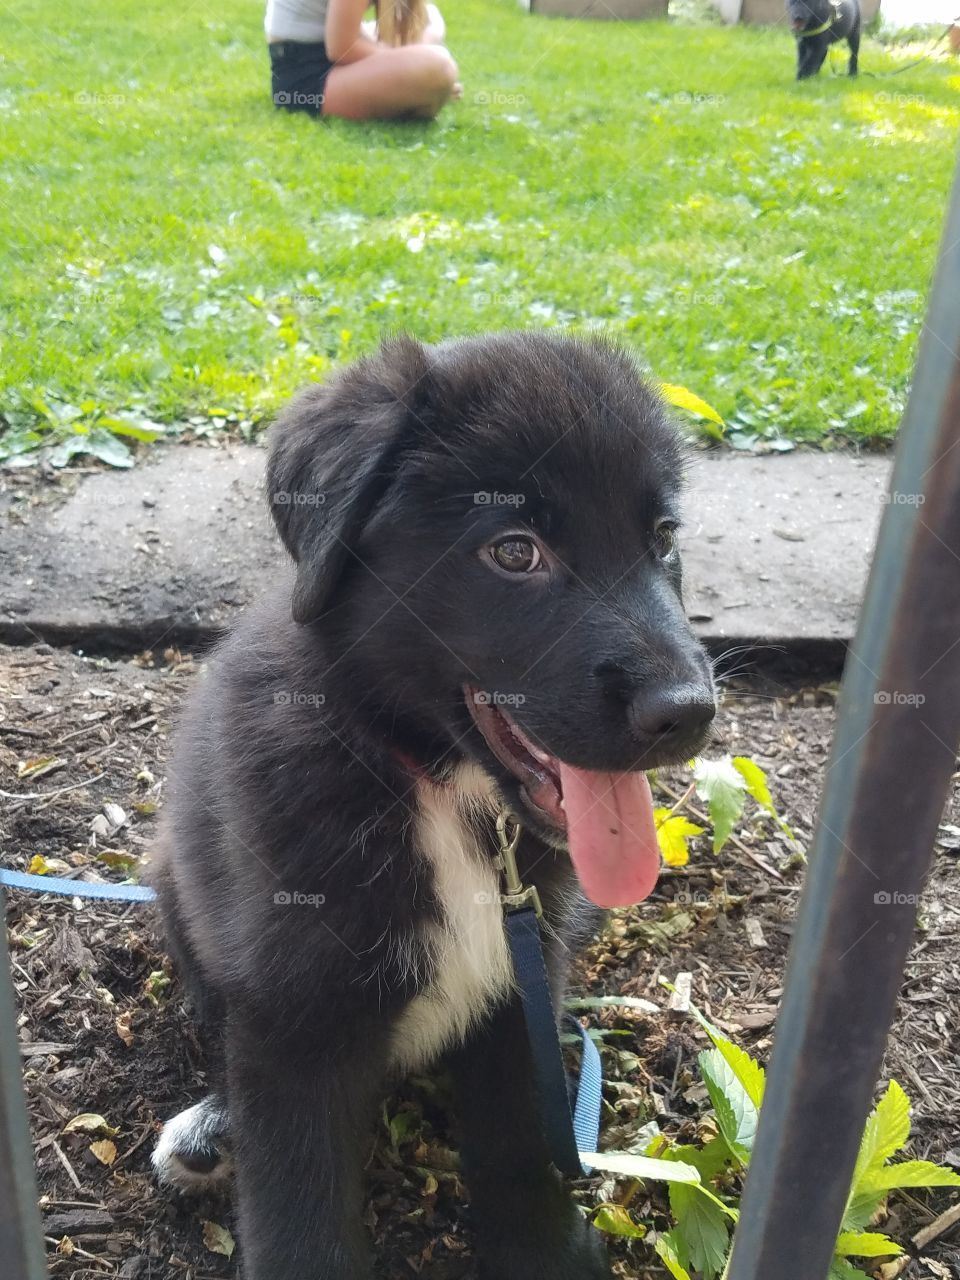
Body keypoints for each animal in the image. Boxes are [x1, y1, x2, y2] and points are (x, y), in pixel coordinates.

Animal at [150, 332, 716, 1280]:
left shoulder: (522, 989)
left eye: (664, 537)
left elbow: (522, 1148)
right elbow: (299, 1211)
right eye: (516, 552)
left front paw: (546, 1254)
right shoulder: (293, 1021)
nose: (689, 713)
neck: (445, 792)